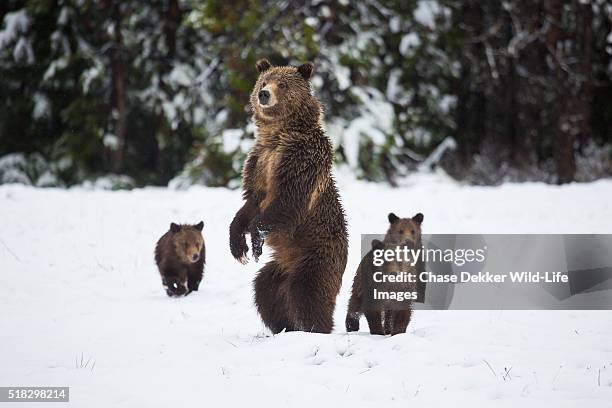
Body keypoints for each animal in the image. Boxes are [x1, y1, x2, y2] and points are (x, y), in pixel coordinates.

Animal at [230, 59, 346, 334]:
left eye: (282, 84)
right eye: (264, 81)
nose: (264, 94)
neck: (278, 135)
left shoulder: (300, 160)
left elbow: (287, 200)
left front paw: (255, 239)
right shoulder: (259, 163)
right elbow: (250, 202)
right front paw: (238, 246)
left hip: (315, 257)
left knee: (307, 293)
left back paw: (315, 328)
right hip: (280, 267)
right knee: (265, 291)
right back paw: (283, 327)